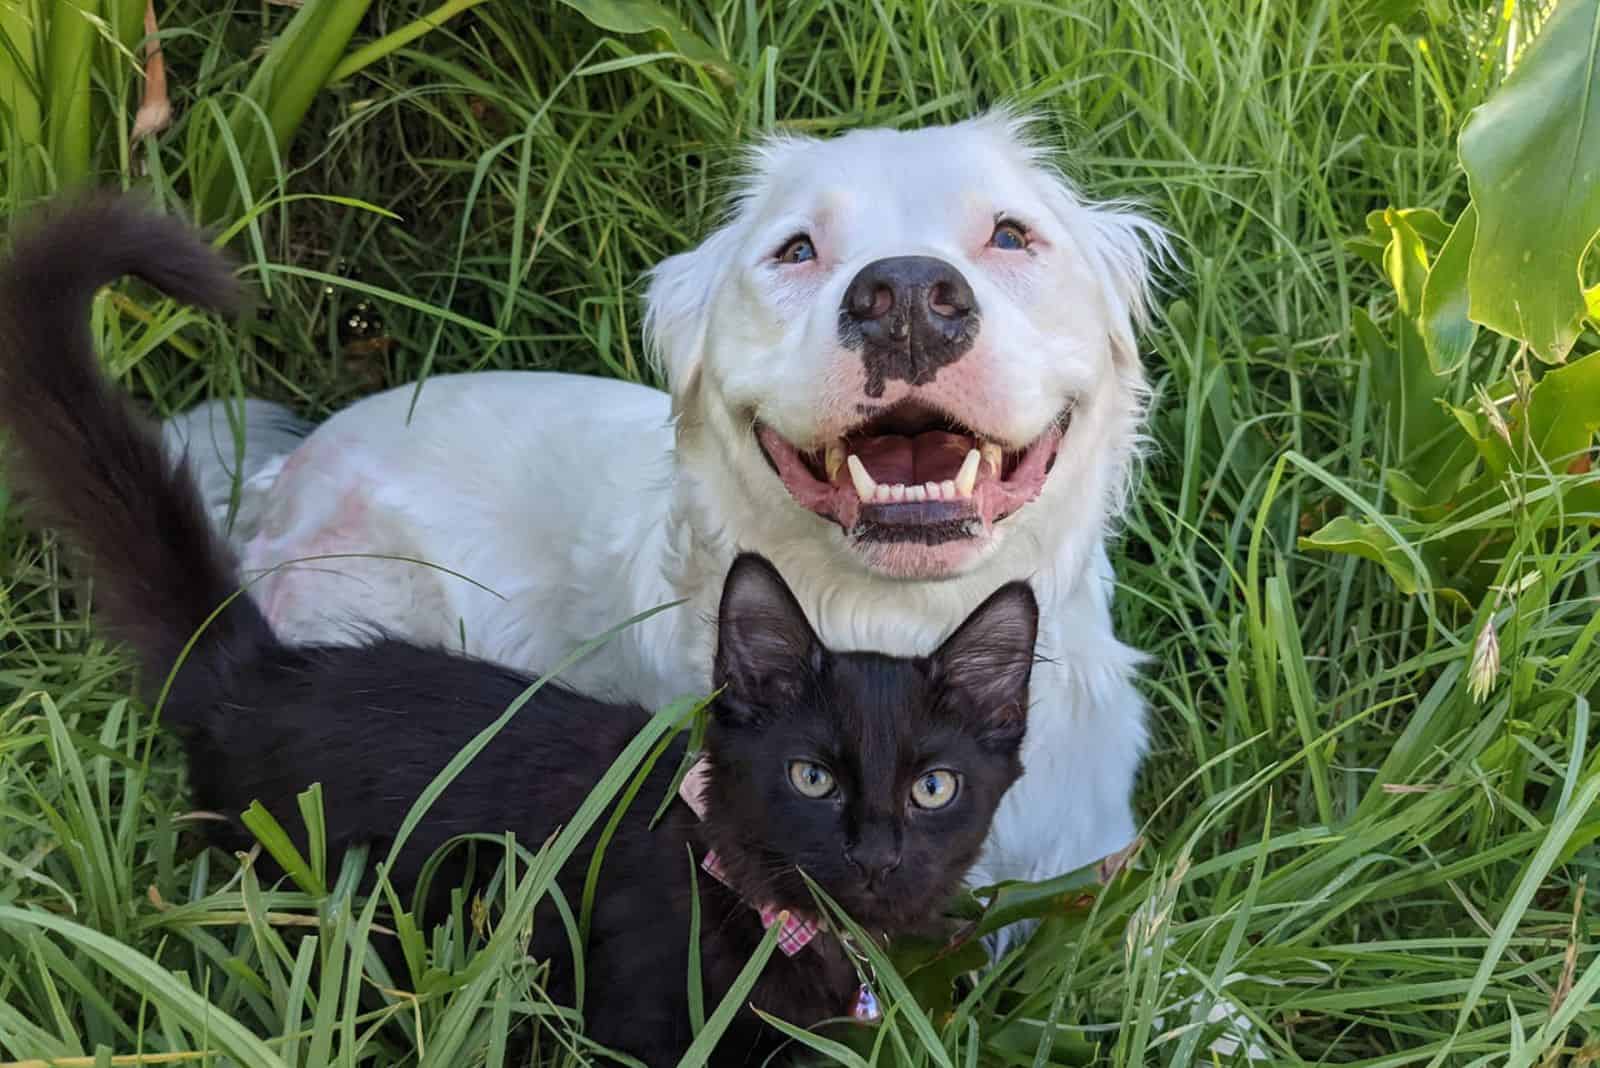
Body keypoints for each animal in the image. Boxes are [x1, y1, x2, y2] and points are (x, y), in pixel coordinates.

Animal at [0, 195, 1036, 1061]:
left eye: (935, 788)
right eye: (810, 776)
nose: (878, 854)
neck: (737, 886)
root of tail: (262, 671)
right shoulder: (632, 1026)